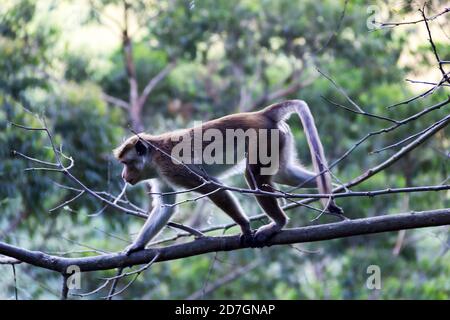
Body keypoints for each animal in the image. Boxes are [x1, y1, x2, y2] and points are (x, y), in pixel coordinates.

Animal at [114, 100, 342, 255]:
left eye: (126, 163)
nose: (124, 176)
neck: (154, 155)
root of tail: (260, 114)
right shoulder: (161, 176)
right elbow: (166, 207)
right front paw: (137, 246)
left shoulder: (171, 167)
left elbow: (212, 187)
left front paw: (244, 225)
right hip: (278, 138)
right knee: (283, 173)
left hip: (264, 137)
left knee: (254, 175)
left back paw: (278, 222)